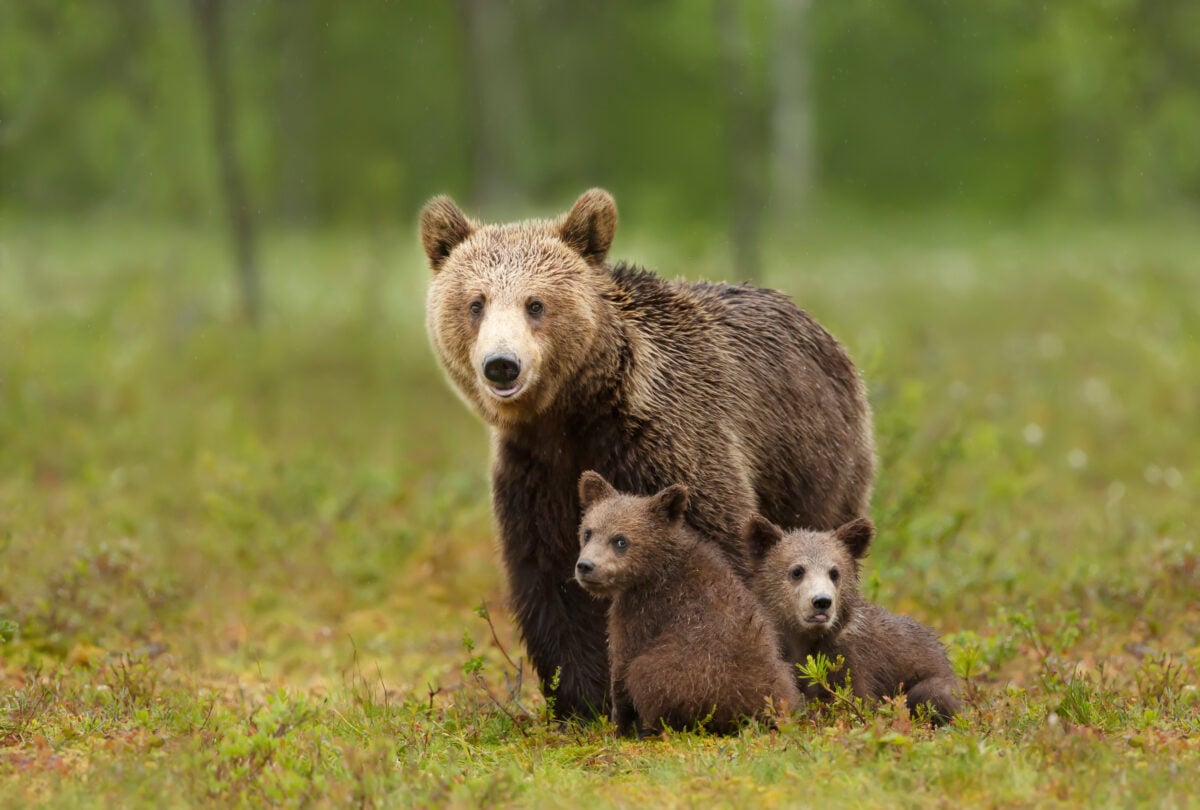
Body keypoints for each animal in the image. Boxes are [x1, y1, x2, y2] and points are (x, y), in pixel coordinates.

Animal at [422, 188, 873, 715]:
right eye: (476, 303)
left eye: (535, 304)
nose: (501, 365)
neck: (573, 414)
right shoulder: (536, 474)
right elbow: (552, 580)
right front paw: (583, 699)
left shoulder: (667, 445)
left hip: (812, 458)